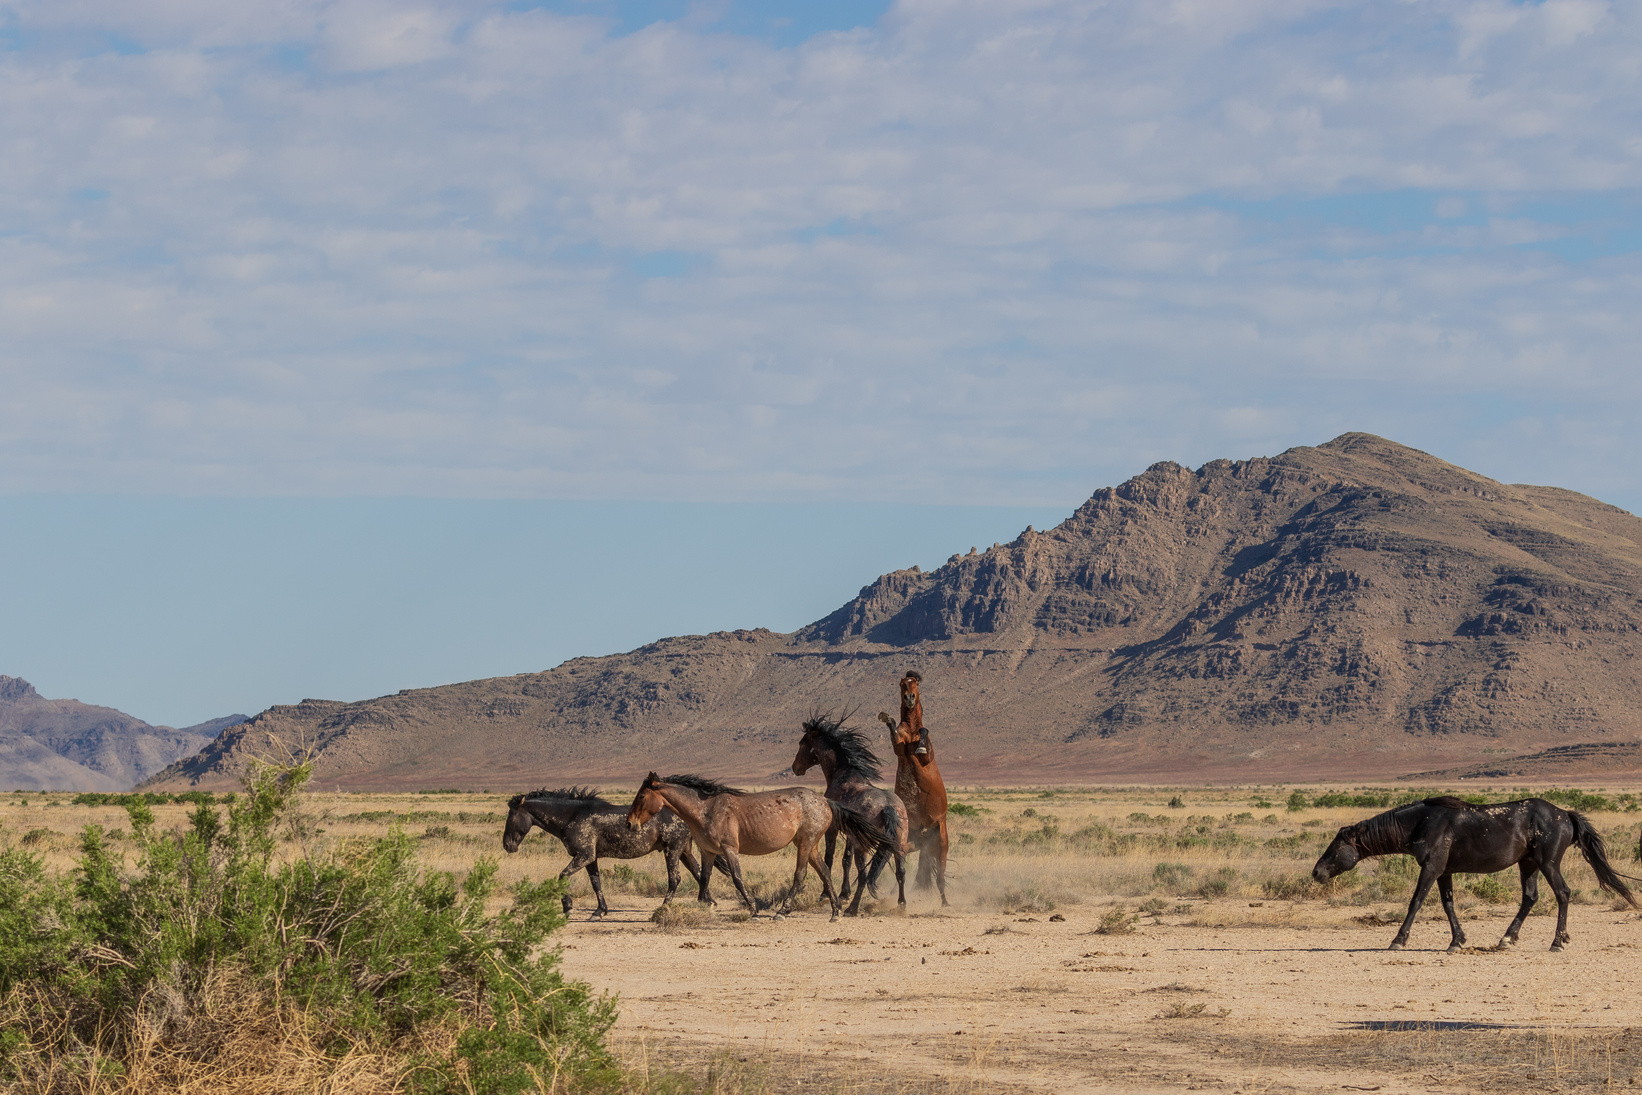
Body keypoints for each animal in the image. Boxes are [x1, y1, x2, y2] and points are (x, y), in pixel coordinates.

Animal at [499, 788, 706, 919]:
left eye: (511, 816)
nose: (507, 845)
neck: (572, 816)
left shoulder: (584, 855)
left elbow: (563, 876)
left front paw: (568, 907)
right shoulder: (591, 858)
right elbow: (596, 883)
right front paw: (599, 911)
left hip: (672, 850)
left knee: (675, 879)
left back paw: (662, 909)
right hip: (684, 852)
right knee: (698, 873)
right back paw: (708, 902)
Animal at [623, 774, 886, 919]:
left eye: (641, 796)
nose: (629, 824)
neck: (705, 810)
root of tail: (825, 801)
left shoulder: (729, 849)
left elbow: (737, 878)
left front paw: (753, 909)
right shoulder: (708, 851)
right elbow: (704, 878)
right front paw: (705, 906)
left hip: (805, 843)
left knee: (800, 875)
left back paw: (782, 912)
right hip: (809, 845)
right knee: (825, 872)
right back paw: (835, 912)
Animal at [791, 712, 912, 919]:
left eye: (802, 743)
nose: (795, 768)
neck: (843, 775)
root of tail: (888, 807)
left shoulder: (832, 830)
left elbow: (829, 859)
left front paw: (825, 894)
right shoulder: (849, 834)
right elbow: (845, 860)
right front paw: (843, 893)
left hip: (863, 847)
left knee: (864, 876)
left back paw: (852, 909)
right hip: (898, 845)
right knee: (901, 872)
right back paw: (901, 905)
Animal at [880, 669, 958, 906]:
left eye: (916, 684)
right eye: (901, 684)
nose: (909, 698)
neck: (911, 731)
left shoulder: (926, 757)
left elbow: (924, 734)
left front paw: (921, 742)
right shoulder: (898, 747)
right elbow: (894, 731)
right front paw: (887, 718)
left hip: (941, 844)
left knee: (940, 875)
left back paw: (944, 902)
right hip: (909, 842)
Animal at [1313, 797, 1635, 952]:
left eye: (1336, 845)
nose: (1316, 872)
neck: (1422, 822)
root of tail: (1565, 814)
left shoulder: (1430, 868)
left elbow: (1416, 902)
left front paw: (1398, 940)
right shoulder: (1444, 871)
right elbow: (1448, 905)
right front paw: (1457, 941)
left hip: (1548, 863)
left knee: (1563, 894)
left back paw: (1557, 942)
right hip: (1528, 864)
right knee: (1530, 897)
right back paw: (1506, 939)